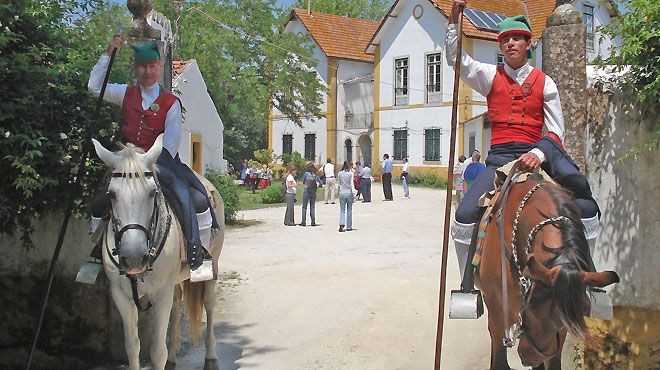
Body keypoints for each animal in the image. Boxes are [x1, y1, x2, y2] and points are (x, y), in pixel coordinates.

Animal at [91, 136, 227, 370]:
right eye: (111, 194)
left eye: (153, 192)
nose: (134, 258)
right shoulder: (121, 295)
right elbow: (132, 347)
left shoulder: (161, 293)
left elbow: (157, 352)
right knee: (177, 304)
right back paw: (173, 357)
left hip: (213, 267)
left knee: (209, 305)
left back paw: (211, 357)